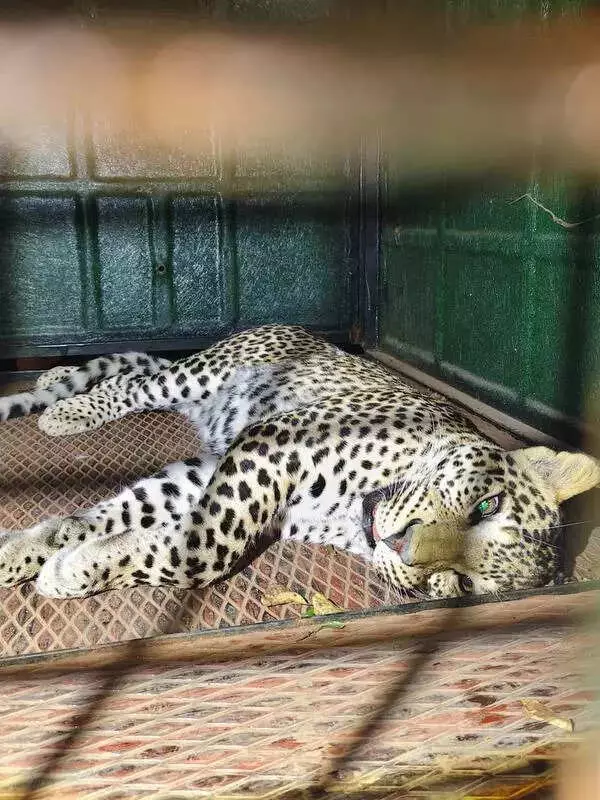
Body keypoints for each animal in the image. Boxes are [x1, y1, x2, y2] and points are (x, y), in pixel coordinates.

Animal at [0, 324, 598, 601]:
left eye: (464, 586)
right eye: (486, 504)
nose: (399, 543)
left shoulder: (235, 482)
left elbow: (128, 526)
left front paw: (51, 560)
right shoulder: (271, 444)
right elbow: (202, 552)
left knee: (138, 370)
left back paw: (58, 384)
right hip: (202, 374)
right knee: (134, 383)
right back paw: (65, 410)